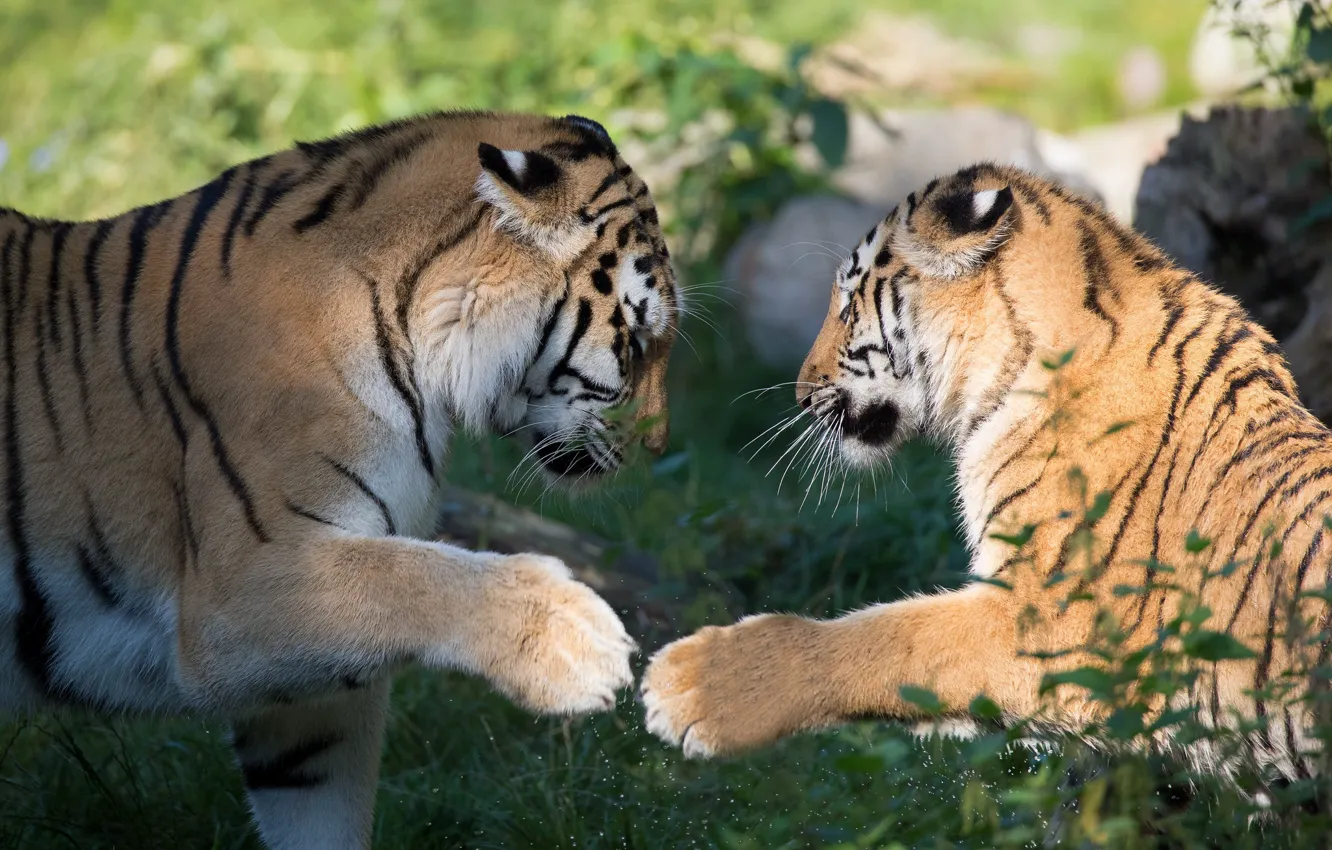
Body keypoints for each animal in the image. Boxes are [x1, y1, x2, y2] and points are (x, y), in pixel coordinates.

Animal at [0, 109, 679, 849]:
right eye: (637, 341)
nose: (657, 442)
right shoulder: (240, 592)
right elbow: (421, 575)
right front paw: (577, 642)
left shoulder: (307, 699)